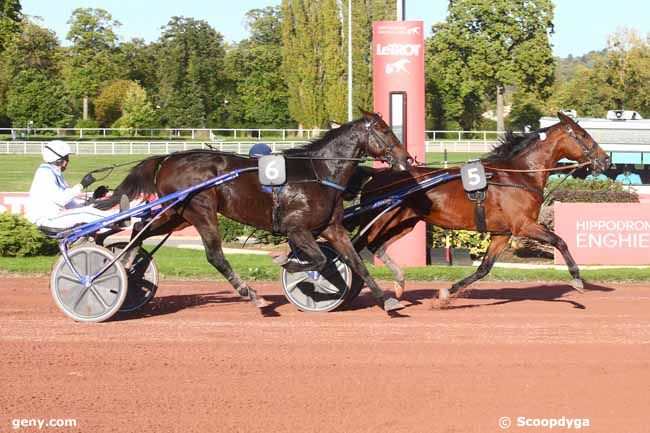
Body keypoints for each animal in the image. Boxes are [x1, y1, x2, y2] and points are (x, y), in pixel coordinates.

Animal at [98, 111, 412, 310]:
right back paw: (251, 294)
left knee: (140, 229)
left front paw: (386, 300)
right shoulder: (295, 229)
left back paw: (128, 265)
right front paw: (290, 266)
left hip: (176, 214)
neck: (318, 172)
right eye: (385, 131)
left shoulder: (332, 228)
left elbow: (356, 262)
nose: (407, 158)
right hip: (201, 211)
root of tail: (168, 158)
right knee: (215, 255)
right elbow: (319, 261)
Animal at [350, 111, 608, 300]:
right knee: (356, 248)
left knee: (377, 247)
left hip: (402, 222)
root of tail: (377, 174)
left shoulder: (502, 233)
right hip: (379, 220)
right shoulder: (524, 225)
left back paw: (399, 283)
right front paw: (577, 279)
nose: (605, 159)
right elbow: (559, 241)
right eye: (583, 135)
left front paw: (447, 292)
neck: (519, 175)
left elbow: (484, 268)